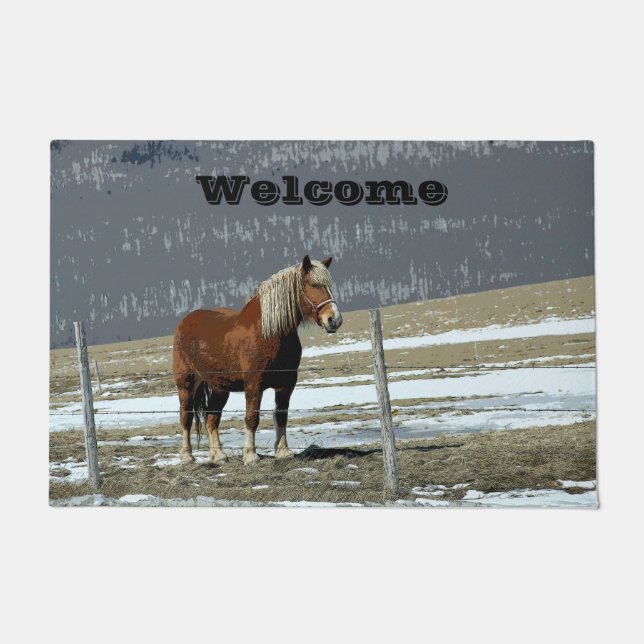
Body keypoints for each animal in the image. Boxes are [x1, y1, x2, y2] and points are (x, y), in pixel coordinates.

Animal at [172, 255, 343, 465]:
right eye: (313, 284)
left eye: (329, 285)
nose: (334, 320)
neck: (270, 333)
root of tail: (185, 321)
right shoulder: (254, 384)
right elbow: (252, 418)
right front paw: (251, 455)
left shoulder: (286, 384)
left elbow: (281, 416)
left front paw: (283, 451)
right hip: (186, 383)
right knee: (185, 418)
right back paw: (187, 456)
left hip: (220, 387)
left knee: (212, 418)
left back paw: (219, 455)